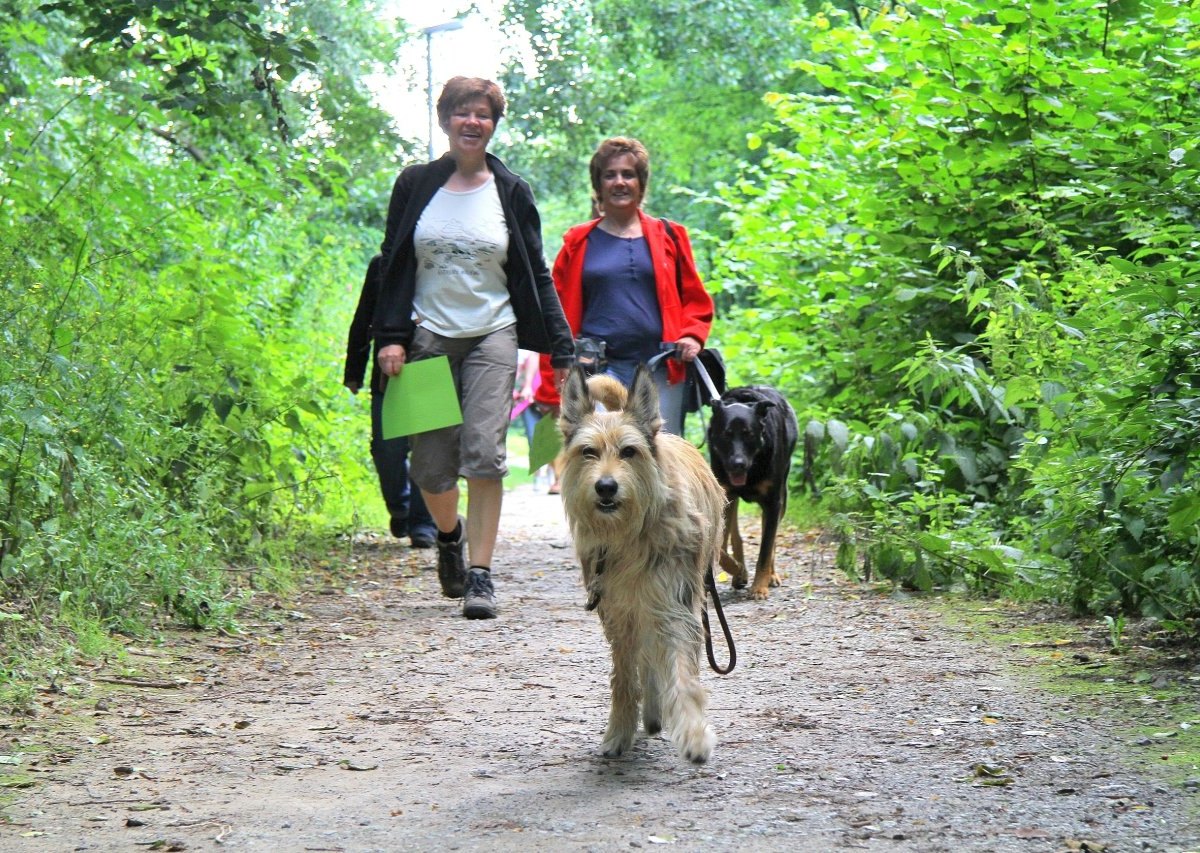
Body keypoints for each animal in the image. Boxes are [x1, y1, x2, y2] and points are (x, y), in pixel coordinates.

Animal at [559, 364, 724, 763]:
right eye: (588, 451)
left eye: (628, 451)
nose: (605, 486)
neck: (630, 534)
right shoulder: (617, 611)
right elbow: (624, 676)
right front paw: (618, 731)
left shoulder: (675, 603)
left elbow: (680, 671)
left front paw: (694, 734)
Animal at [705, 386, 801, 599]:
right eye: (727, 435)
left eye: (749, 434)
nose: (738, 464)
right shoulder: (724, 495)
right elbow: (720, 548)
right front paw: (738, 570)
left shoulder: (773, 502)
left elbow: (765, 549)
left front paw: (759, 587)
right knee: (735, 535)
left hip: (782, 495)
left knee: (771, 539)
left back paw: (771, 576)